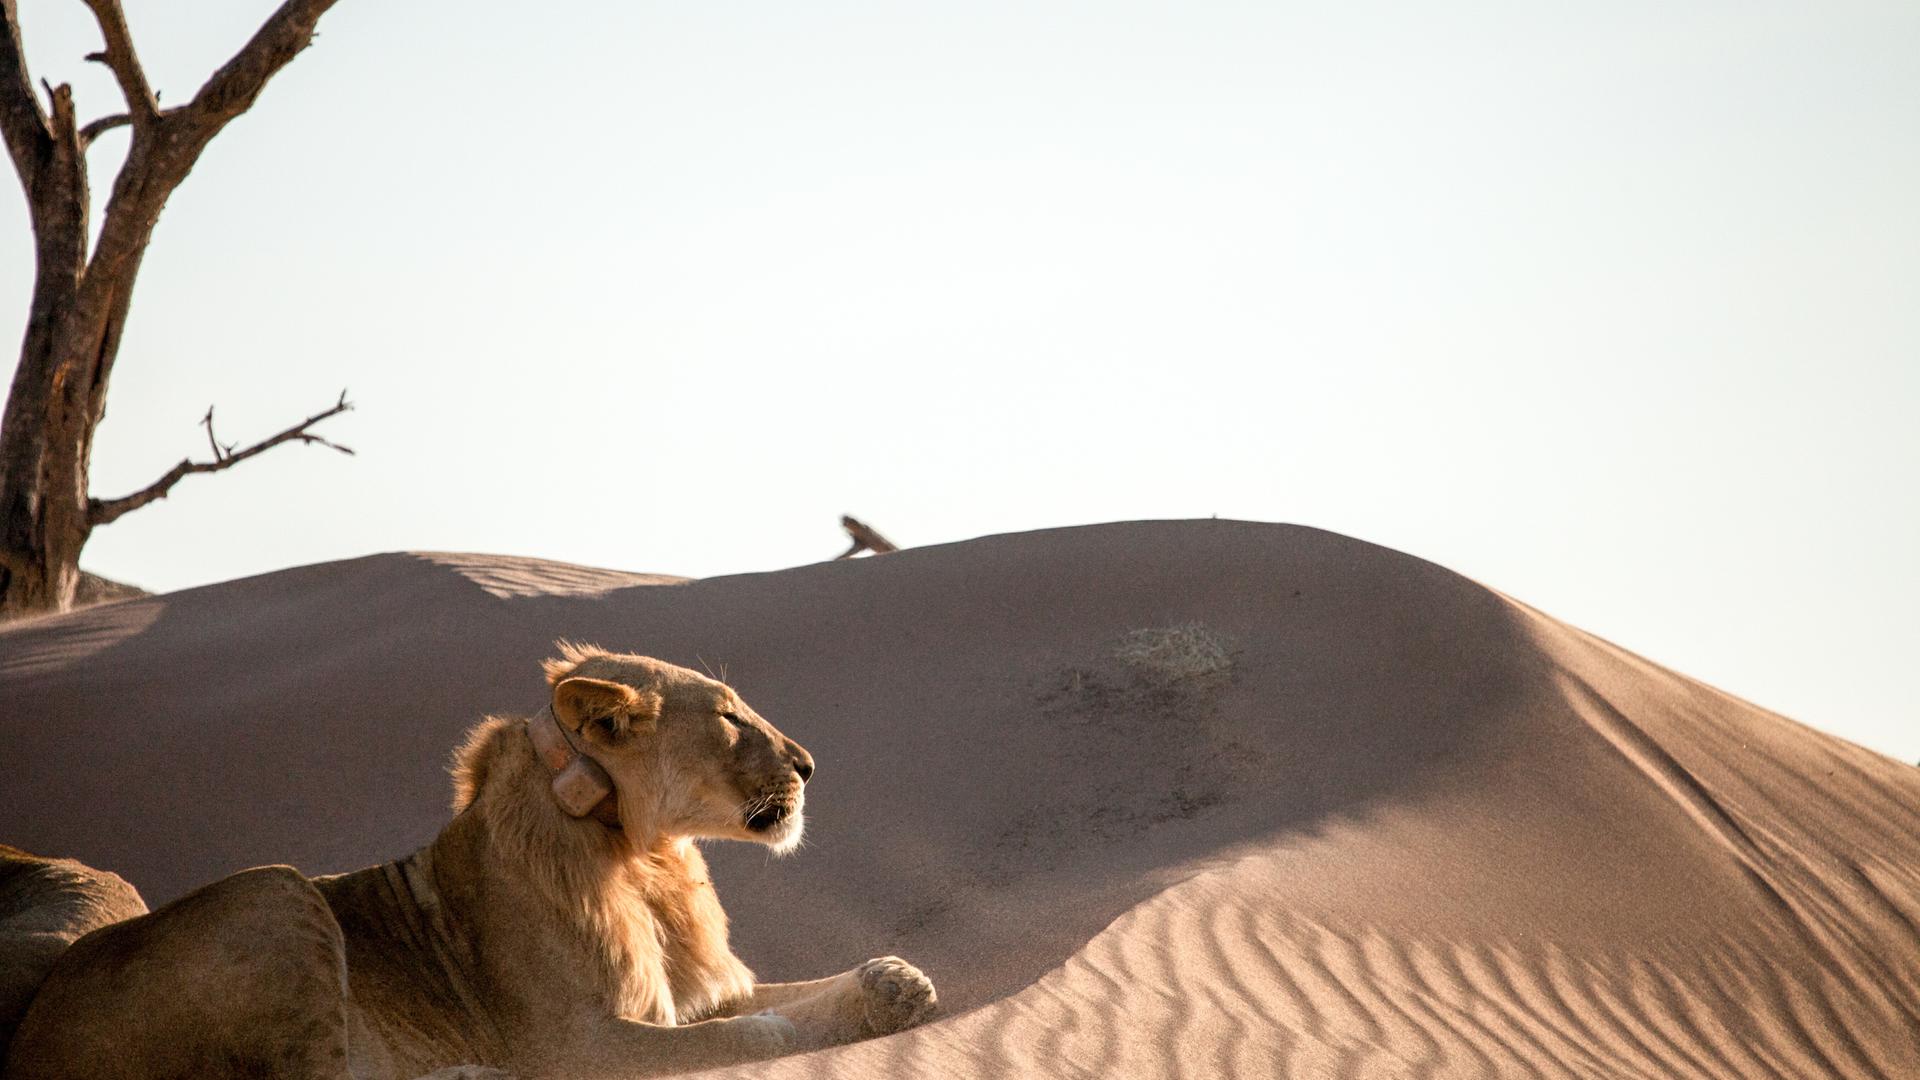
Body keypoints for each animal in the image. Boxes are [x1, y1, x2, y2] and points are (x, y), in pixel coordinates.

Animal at [4, 645, 937, 1079]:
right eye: (730, 718)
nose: (810, 765)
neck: (647, 859)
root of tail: (29, 1037)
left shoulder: (699, 991)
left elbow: (802, 992)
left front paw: (895, 984)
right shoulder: (575, 1043)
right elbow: (742, 1033)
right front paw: (776, 1035)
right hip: (275, 890)